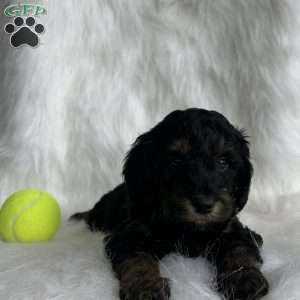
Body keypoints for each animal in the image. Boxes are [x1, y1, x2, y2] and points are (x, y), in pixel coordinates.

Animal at [71, 109, 270, 300]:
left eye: (223, 162)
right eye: (175, 162)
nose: (203, 205)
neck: (187, 227)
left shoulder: (232, 229)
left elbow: (239, 250)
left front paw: (244, 279)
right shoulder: (130, 235)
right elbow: (138, 258)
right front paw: (145, 287)